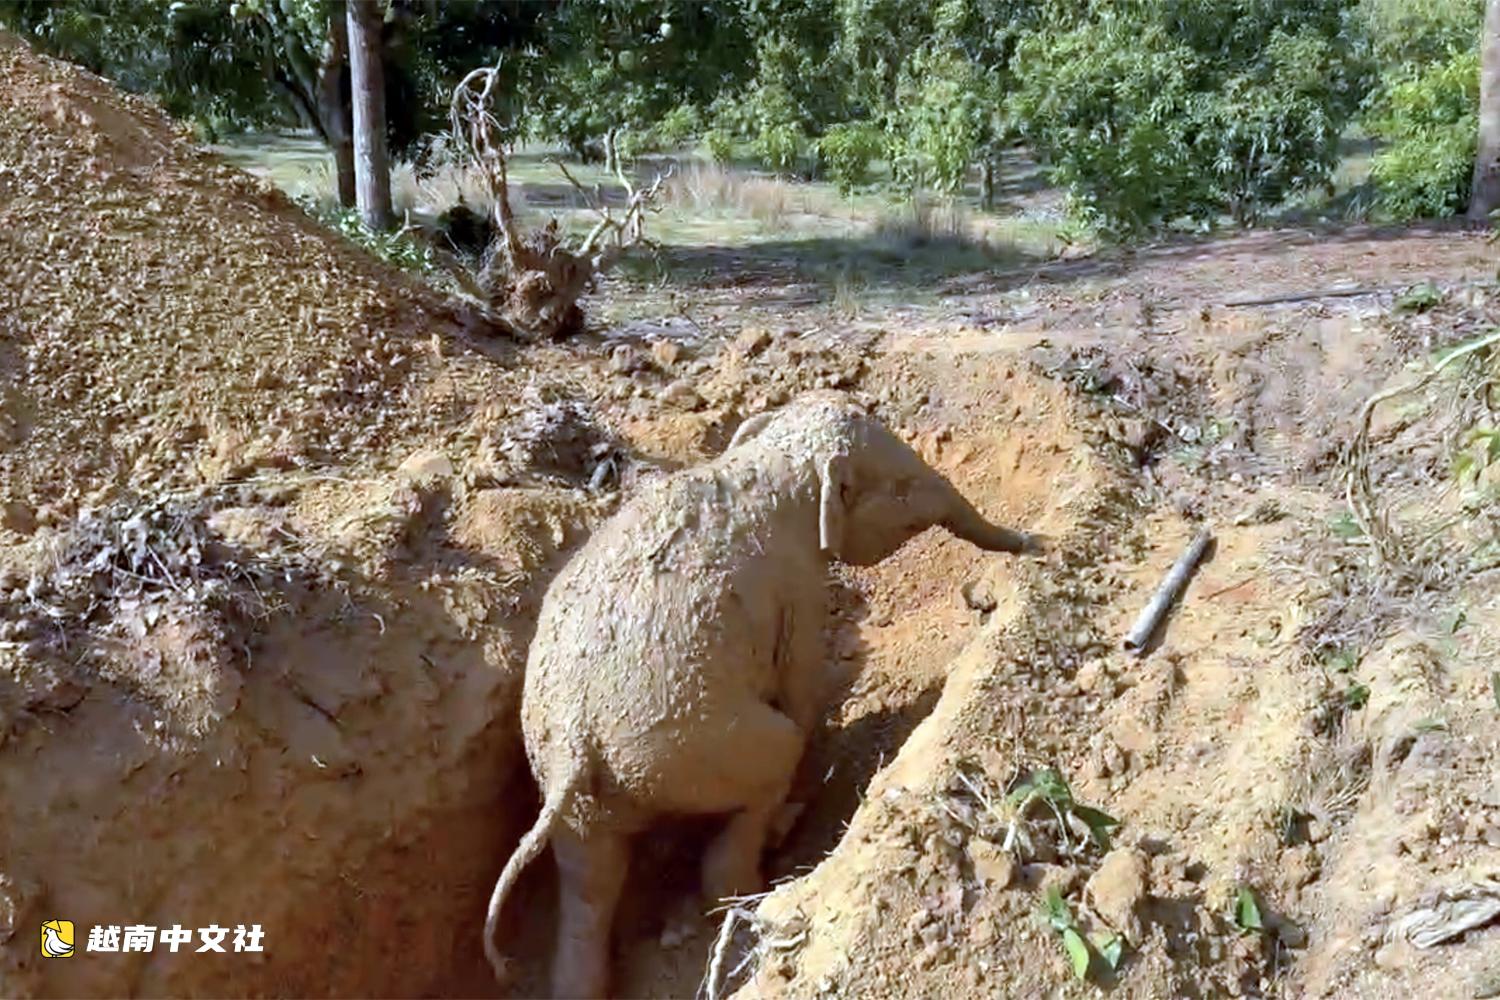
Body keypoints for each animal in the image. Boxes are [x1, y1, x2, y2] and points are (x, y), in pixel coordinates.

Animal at [483, 389, 1044, 998]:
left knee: (590, 887)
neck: (764, 464)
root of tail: (573, 747)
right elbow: (802, 681)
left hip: (581, 797)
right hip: (694, 753)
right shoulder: (798, 588)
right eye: (901, 487)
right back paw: (772, 860)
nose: (1038, 543)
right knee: (766, 777)